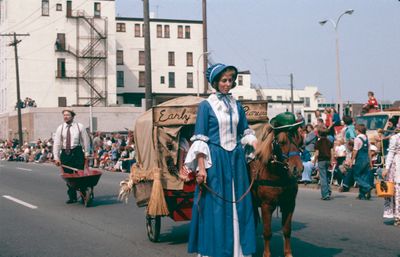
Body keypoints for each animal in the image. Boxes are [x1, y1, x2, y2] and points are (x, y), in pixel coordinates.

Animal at [252, 124, 304, 256]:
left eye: (300, 140)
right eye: (281, 142)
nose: (297, 169)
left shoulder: (289, 204)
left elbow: (287, 230)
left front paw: (288, 253)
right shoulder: (266, 205)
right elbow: (267, 232)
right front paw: (266, 254)